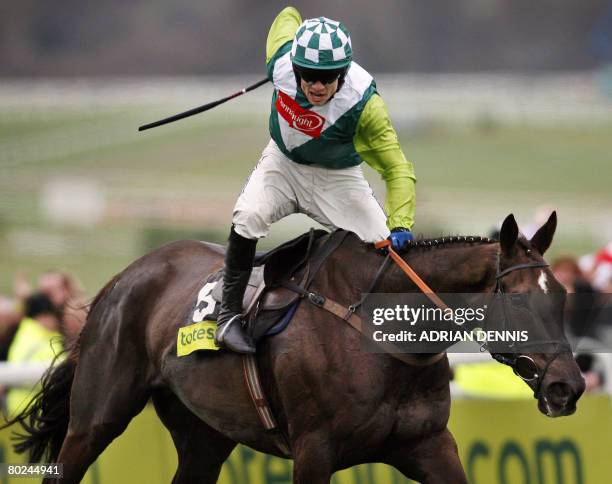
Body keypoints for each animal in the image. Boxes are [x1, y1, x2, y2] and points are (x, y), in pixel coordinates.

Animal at [8, 213, 584, 484]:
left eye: (563, 298)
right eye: (520, 300)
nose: (569, 386)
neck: (378, 334)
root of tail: (119, 280)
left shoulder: (428, 445)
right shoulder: (314, 450)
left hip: (204, 436)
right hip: (96, 417)